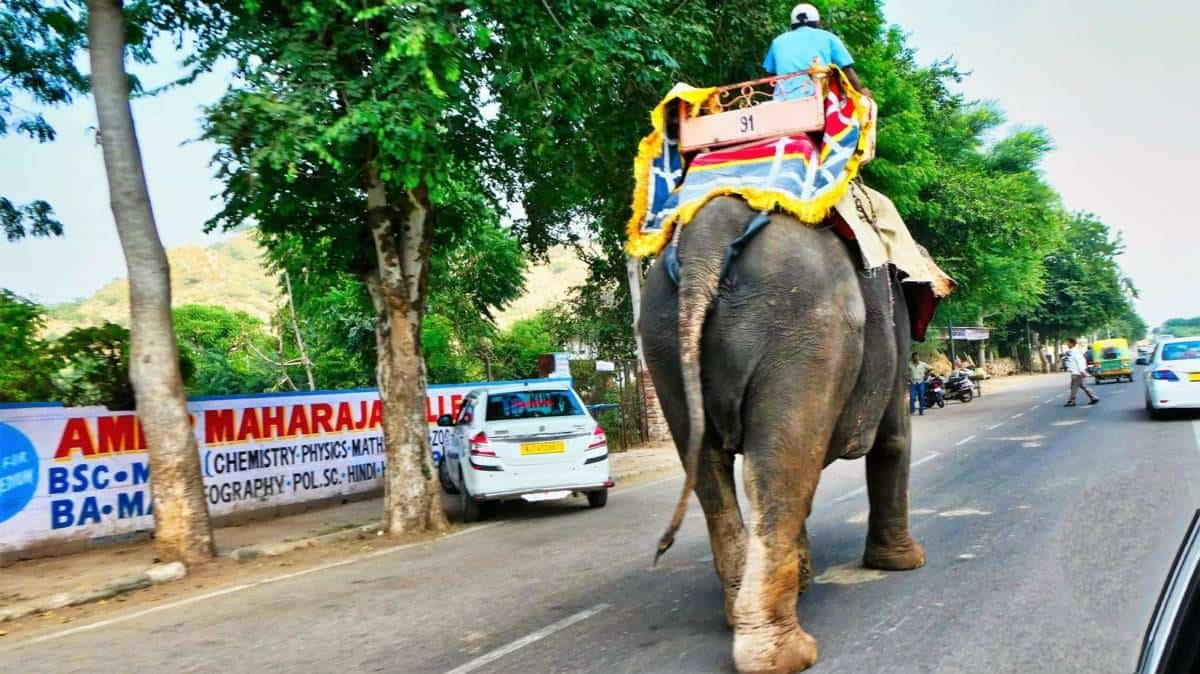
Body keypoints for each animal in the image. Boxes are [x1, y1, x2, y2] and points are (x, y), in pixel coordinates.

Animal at [638, 194, 926, 671]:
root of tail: (705, 240)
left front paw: (806, 580)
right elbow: (893, 438)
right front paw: (906, 565)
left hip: (663, 338)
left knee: (719, 474)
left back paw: (744, 619)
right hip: (805, 331)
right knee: (780, 472)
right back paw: (785, 656)